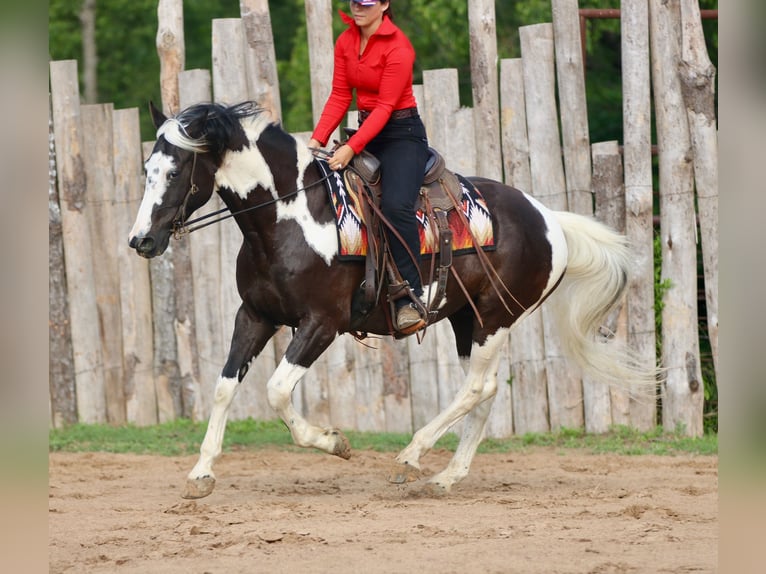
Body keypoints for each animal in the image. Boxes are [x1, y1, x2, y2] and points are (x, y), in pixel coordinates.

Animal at [129, 101, 655, 499]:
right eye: (146, 169)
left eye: (174, 170)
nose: (141, 240)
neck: (290, 217)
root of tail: (548, 219)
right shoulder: (255, 316)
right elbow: (224, 387)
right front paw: (201, 473)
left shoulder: (322, 323)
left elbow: (276, 390)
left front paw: (334, 441)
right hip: (465, 320)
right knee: (486, 390)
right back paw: (447, 476)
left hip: (495, 317)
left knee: (475, 389)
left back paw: (410, 457)